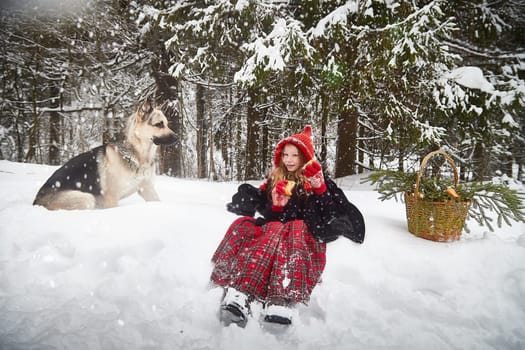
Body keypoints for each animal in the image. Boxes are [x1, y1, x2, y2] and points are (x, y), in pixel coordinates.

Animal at [32, 100, 177, 211]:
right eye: (159, 124)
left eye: (167, 124)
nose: (177, 137)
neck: (139, 155)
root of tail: (36, 201)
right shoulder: (111, 198)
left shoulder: (147, 189)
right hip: (86, 198)